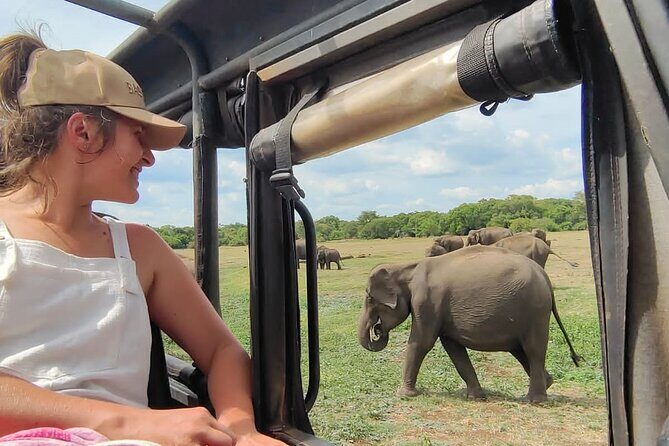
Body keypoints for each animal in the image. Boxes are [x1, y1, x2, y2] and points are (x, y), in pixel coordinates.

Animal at [357, 245, 581, 403]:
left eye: (369, 299)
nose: (377, 330)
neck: (406, 268)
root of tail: (545, 276)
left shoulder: (426, 302)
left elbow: (421, 342)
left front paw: (404, 395)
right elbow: (453, 347)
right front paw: (475, 397)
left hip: (535, 310)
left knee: (533, 348)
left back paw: (534, 400)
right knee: (520, 349)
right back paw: (548, 383)